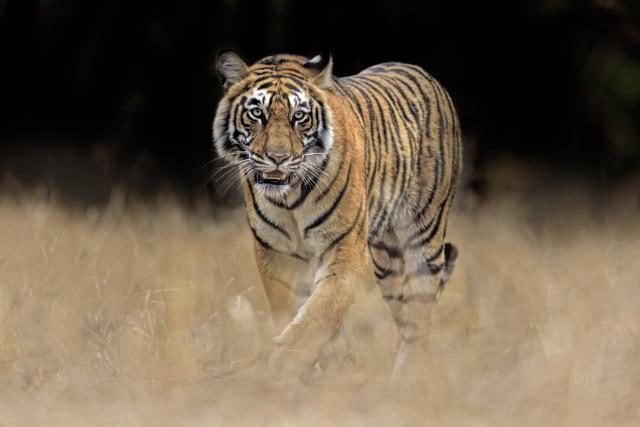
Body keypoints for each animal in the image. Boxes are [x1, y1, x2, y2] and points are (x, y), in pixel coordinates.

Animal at [212, 50, 462, 378]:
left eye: (299, 117)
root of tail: (423, 72)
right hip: (387, 261)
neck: (290, 198)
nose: (278, 158)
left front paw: (284, 367)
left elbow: (321, 311)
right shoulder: (275, 252)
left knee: (419, 316)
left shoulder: (345, 247)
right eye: (257, 114)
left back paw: (409, 377)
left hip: (424, 236)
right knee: (404, 313)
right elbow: (294, 311)